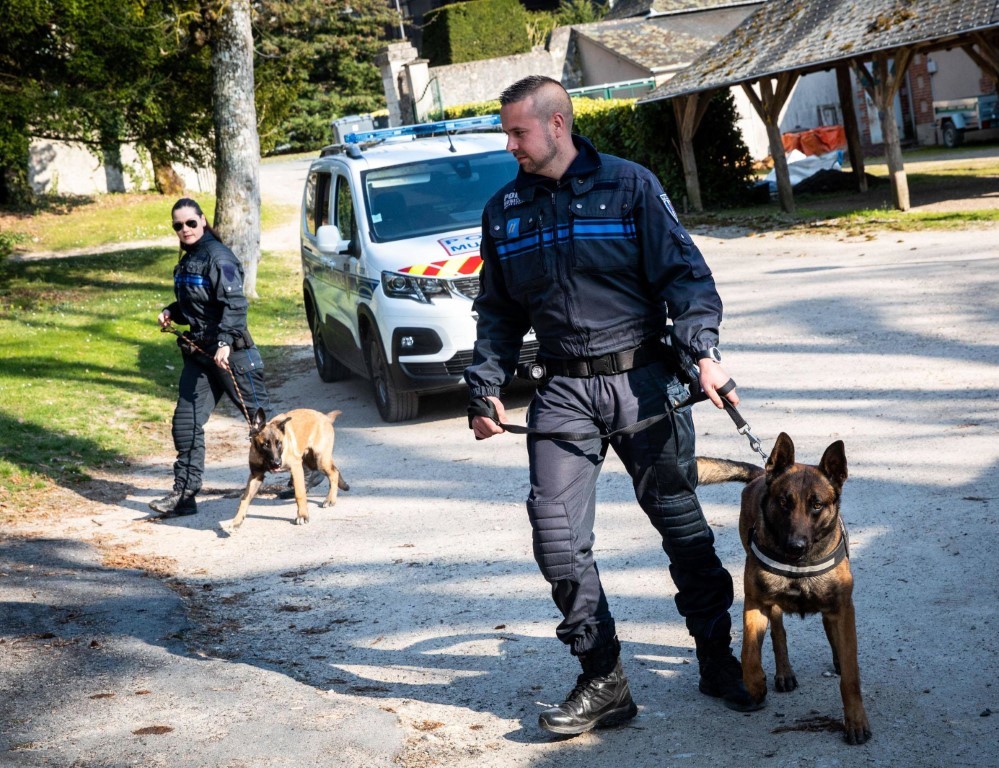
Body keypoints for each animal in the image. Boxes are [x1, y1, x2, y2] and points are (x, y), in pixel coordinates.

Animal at [700, 436, 872, 748]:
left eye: (817, 505)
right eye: (783, 502)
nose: (796, 546)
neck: (799, 565)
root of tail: (762, 473)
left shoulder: (843, 608)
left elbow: (851, 677)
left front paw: (855, 721)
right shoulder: (755, 603)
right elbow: (749, 652)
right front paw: (754, 683)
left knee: (830, 631)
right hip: (773, 604)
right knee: (779, 633)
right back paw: (783, 673)